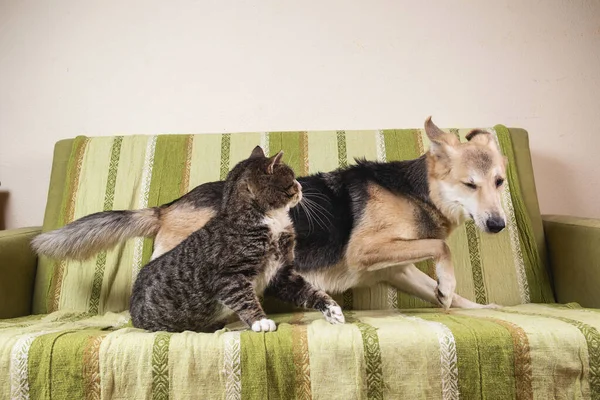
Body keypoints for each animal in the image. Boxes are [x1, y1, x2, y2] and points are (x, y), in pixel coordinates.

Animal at [32, 116, 506, 310]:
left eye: (500, 182)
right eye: (470, 185)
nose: (499, 224)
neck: (415, 189)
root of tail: (167, 206)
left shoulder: (396, 269)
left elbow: (448, 292)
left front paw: (465, 303)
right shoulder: (367, 250)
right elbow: (441, 246)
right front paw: (448, 282)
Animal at [131, 145, 346, 332]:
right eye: (291, 179)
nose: (300, 185)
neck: (271, 223)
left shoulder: (281, 275)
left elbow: (309, 291)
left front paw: (332, 310)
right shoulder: (228, 276)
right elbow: (244, 298)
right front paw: (261, 321)